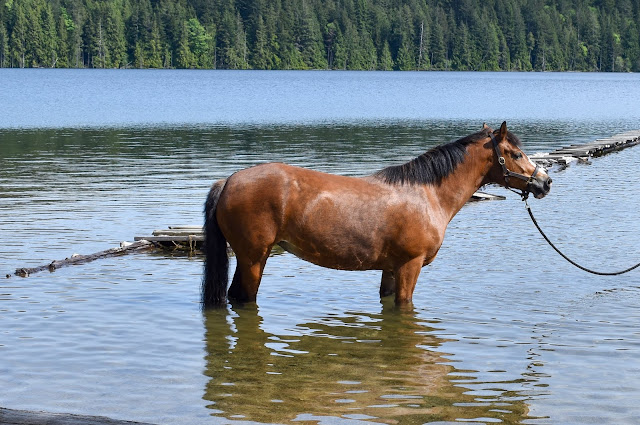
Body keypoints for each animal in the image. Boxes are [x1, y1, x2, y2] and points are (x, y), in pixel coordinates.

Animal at [202, 122, 552, 308]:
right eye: (515, 154)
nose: (545, 182)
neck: (426, 195)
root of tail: (229, 181)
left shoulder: (391, 268)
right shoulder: (410, 266)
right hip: (253, 258)